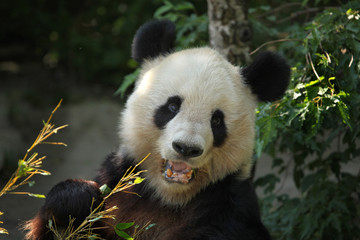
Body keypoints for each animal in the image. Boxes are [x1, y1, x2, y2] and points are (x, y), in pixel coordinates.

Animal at [24, 19, 290, 239]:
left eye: (217, 121)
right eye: (172, 106)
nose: (186, 148)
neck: (168, 197)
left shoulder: (229, 206)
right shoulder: (119, 178)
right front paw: (74, 199)